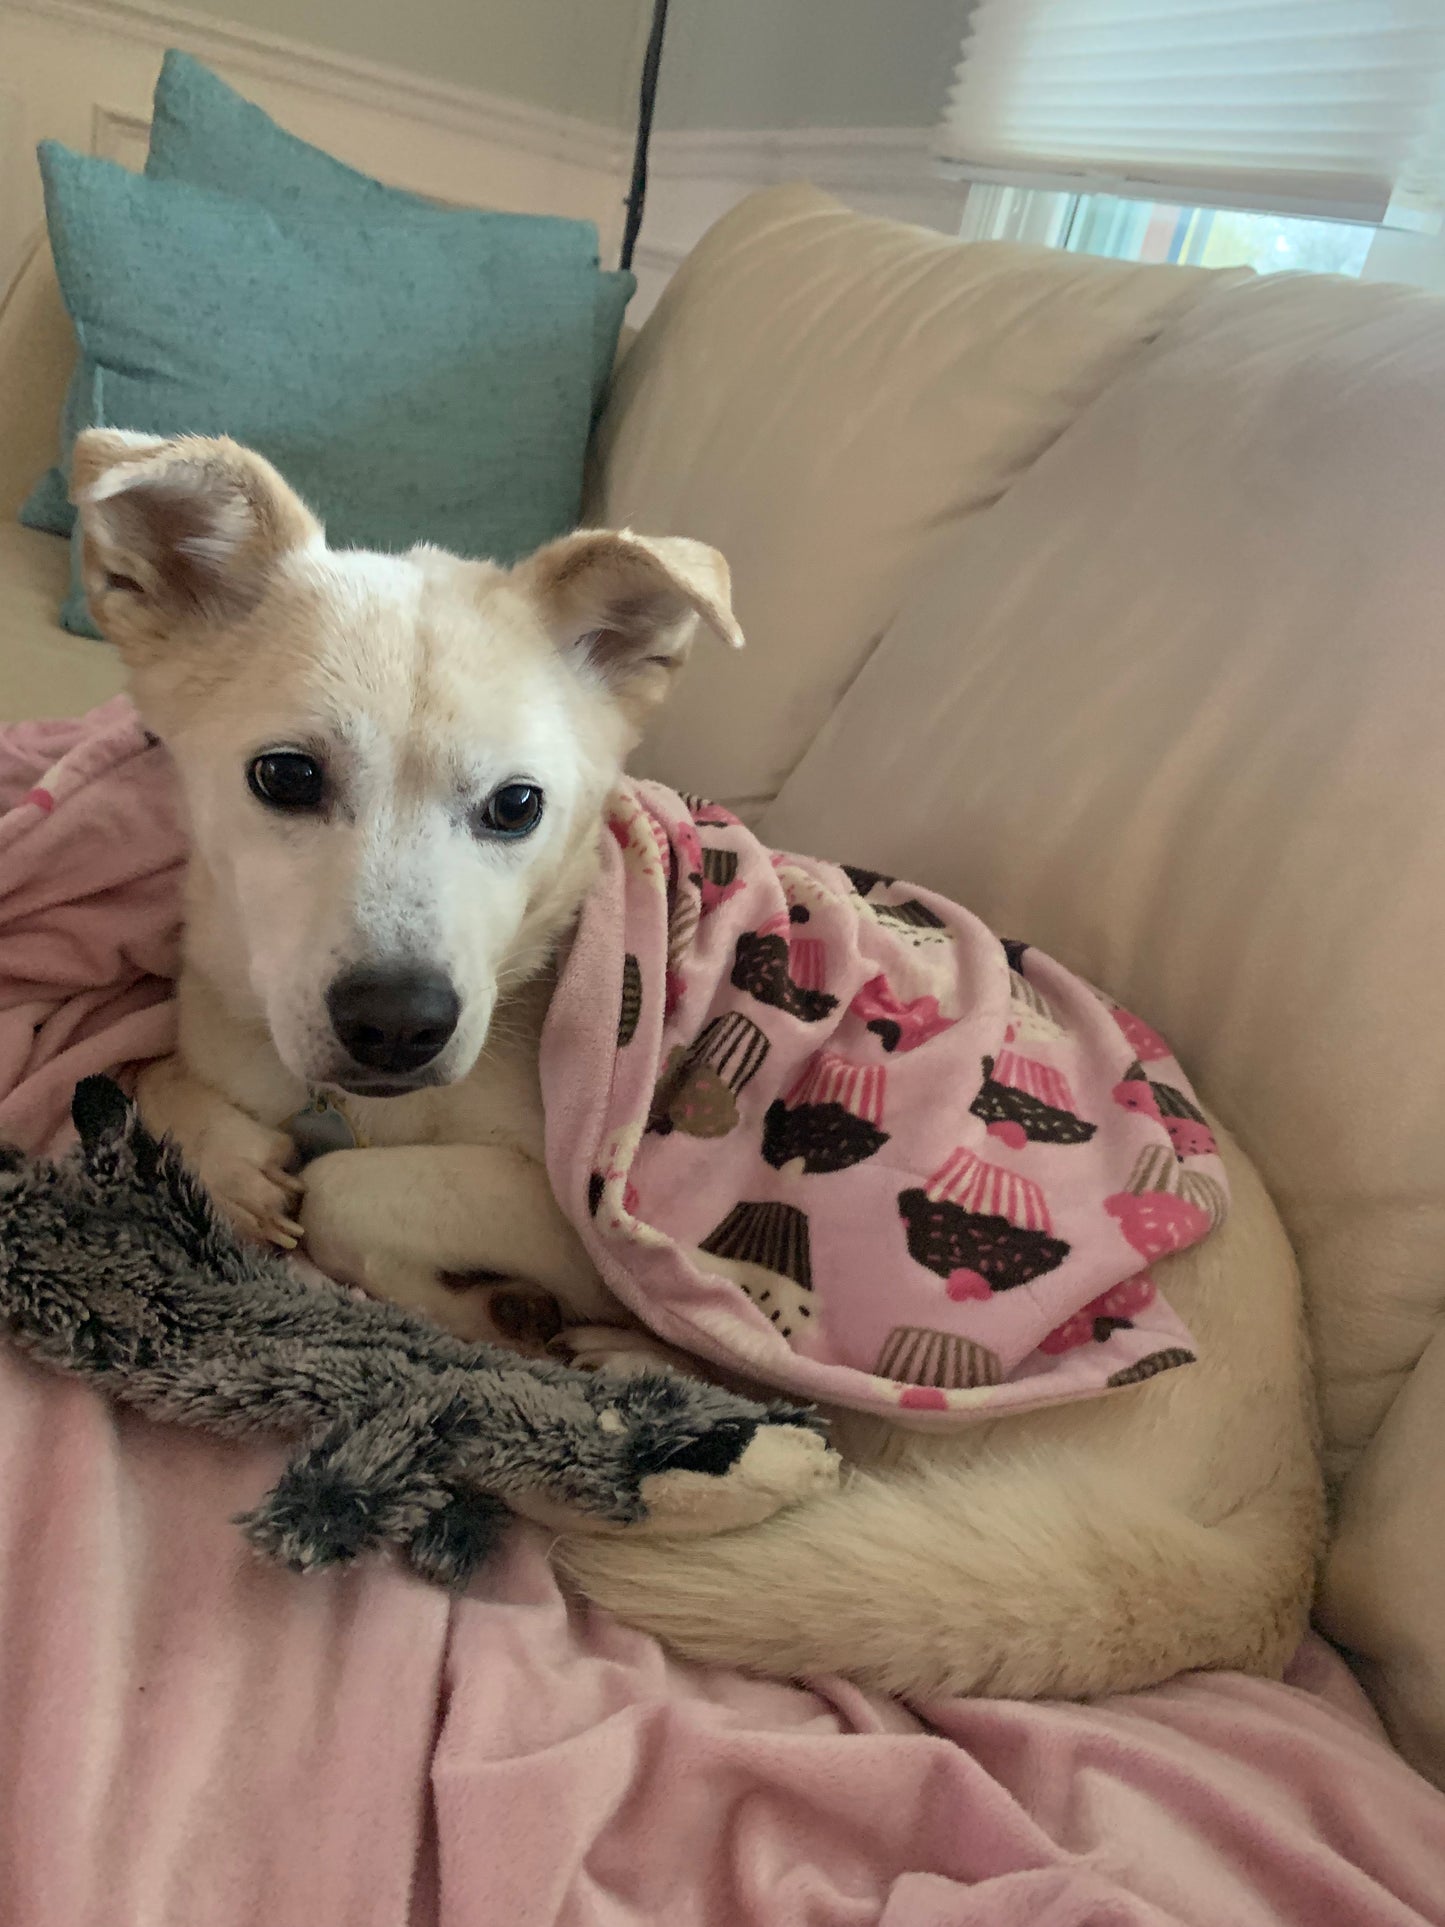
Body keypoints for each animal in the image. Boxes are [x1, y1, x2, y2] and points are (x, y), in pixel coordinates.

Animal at [73, 425, 1333, 1703]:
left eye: (515, 806)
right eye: (285, 777)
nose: (397, 1026)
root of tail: (1282, 1527)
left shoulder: (567, 1201)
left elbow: (348, 1188)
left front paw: (453, 1284)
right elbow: (156, 1078)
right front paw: (230, 1153)